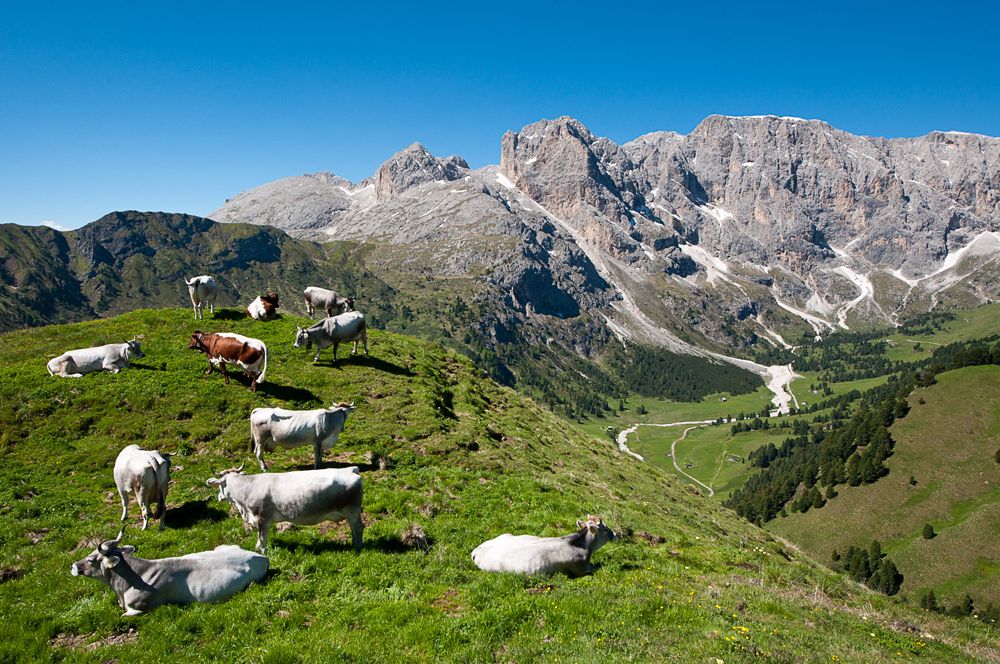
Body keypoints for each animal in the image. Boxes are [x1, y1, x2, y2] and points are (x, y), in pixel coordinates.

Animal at [206, 466, 364, 556]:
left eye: (220, 485)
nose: (219, 497)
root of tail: (350, 469)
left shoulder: (262, 518)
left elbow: (262, 537)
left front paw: (262, 552)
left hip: (352, 511)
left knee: (358, 528)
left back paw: (357, 547)